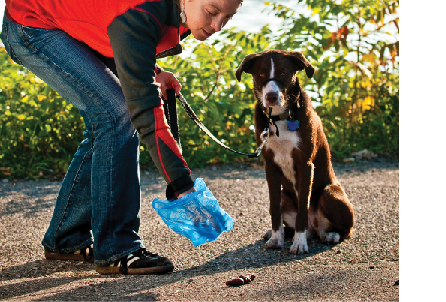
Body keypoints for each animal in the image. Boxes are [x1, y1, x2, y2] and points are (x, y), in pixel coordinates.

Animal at [235, 50, 354, 254]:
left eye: (283, 72)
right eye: (261, 73)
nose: (271, 96)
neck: (279, 118)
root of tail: (315, 229)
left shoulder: (305, 164)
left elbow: (303, 208)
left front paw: (299, 243)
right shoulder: (270, 165)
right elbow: (274, 207)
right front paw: (277, 238)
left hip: (330, 192)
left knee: (346, 229)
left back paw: (330, 235)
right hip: (286, 195)